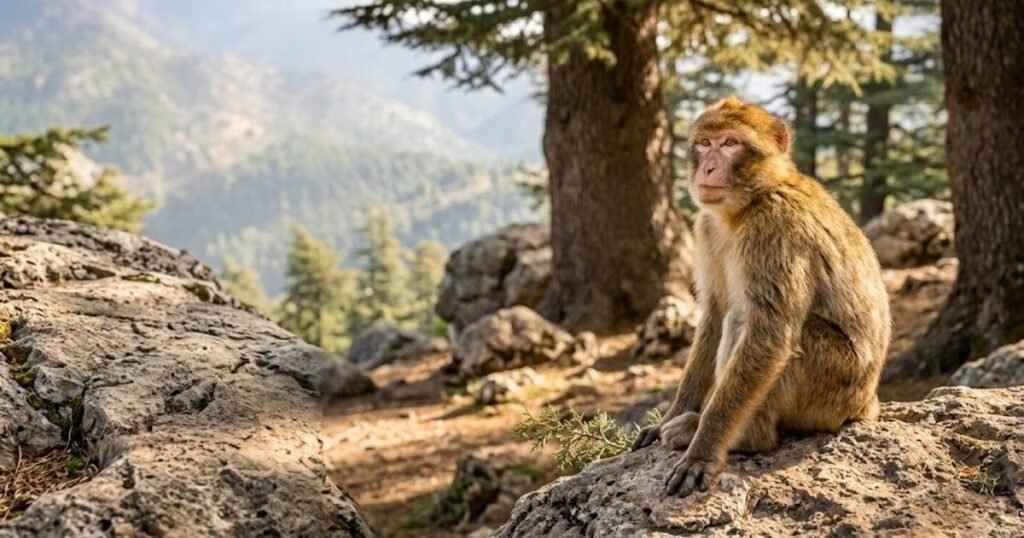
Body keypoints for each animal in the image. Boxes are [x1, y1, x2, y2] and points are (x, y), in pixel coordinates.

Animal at [631, 97, 891, 498]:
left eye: (730, 143)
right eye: (704, 143)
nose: (707, 166)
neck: (747, 203)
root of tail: (867, 405)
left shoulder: (775, 229)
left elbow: (769, 334)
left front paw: (703, 452)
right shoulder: (705, 227)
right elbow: (714, 314)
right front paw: (671, 416)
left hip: (834, 386)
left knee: (753, 322)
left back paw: (746, 437)